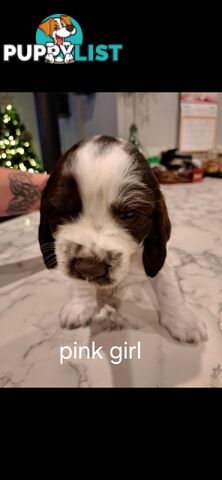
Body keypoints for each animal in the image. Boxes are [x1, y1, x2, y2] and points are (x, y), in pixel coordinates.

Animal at [38, 135, 208, 344]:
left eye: (128, 214)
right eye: (62, 211)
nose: (89, 268)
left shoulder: (155, 254)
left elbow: (167, 285)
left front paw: (183, 320)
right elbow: (80, 282)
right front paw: (79, 306)